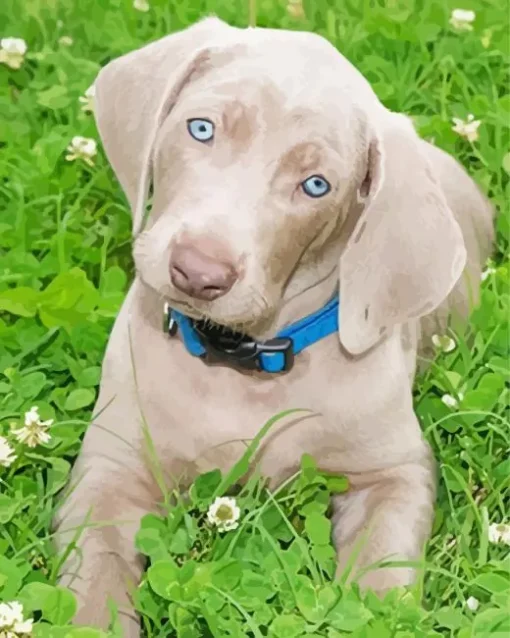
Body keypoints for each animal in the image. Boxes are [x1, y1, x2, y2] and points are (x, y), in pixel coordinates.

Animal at [54, 17, 494, 636]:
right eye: (201, 128)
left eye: (316, 186)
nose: (198, 273)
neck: (239, 358)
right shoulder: (109, 468)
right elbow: (93, 578)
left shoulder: (394, 471)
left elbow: (381, 570)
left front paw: (373, 611)